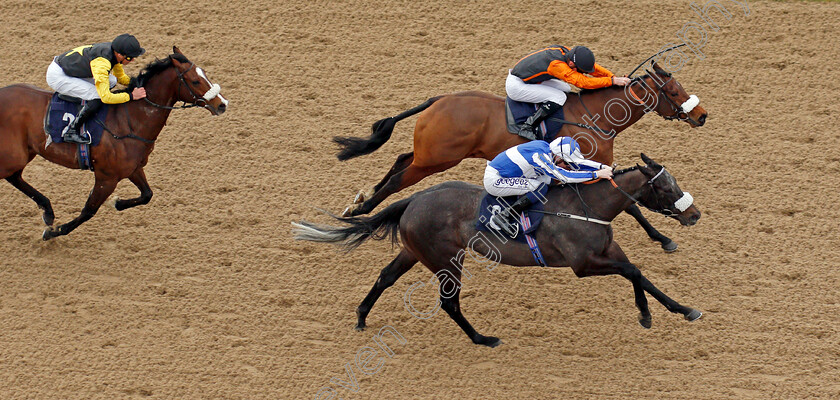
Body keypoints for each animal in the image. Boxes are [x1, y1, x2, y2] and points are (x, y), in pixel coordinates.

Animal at [0, 47, 228, 241]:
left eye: (205, 74)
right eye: (195, 81)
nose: (222, 104)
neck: (130, 120)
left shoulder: (133, 169)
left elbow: (147, 194)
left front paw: (117, 203)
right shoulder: (107, 177)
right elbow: (89, 210)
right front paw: (54, 232)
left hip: (23, 153)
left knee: (15, 176)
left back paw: (47, 211)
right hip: (14, 155)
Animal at [294, 153, 704, 346]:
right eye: (665, 187)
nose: (695, 214)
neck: (587, 207)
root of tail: (412, 199)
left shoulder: (610, 251)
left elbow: (643, 277)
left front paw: (684, 310)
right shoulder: (583, 264)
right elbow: (633, 272)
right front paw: (646, 316)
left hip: (414, 252)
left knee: (385, 277)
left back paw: (362, 316)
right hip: (446, 260)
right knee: (449, 303)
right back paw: (483, 338)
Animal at [334, 61, 708, 252]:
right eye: (673, 91)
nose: (702, 115)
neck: (596, 115)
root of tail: (438, 100)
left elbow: (629, 200)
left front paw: (662, 237)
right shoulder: (574, 163)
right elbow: (629, 202)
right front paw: (664, 238)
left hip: (429, 154)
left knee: (399, 161)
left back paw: (360, 203)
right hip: (436, 160)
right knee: (398, 179)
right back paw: (361, 211)